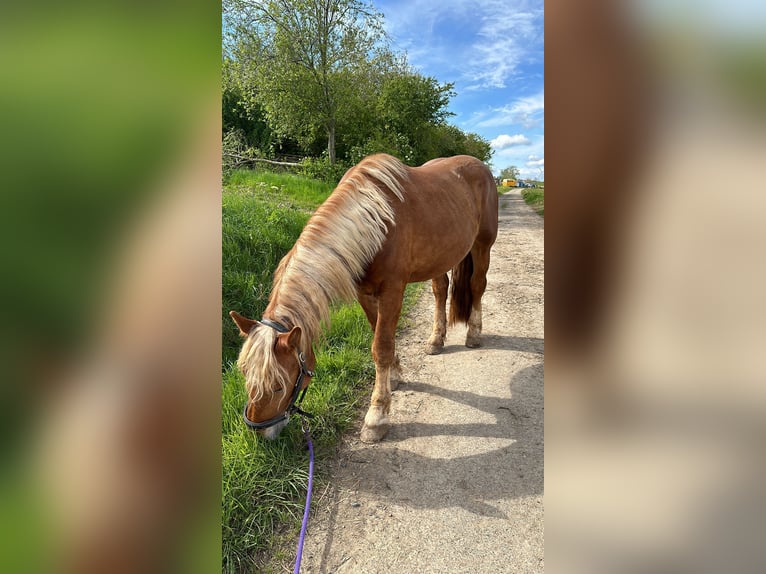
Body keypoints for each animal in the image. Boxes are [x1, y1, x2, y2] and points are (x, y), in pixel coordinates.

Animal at [231, 154, 500, 446]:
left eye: (279, 385)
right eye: (244, 373)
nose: (259, 432)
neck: (377, 220)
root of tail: (479, 166)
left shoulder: (393, 291)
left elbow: (381, 347)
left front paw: (377, 416)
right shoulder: (364, 293)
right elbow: (379, 336)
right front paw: (394, 375)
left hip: (482, 246)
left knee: (477, 286)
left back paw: (473, 333)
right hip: (441, 257)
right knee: (441, 290)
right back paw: (435, 340)